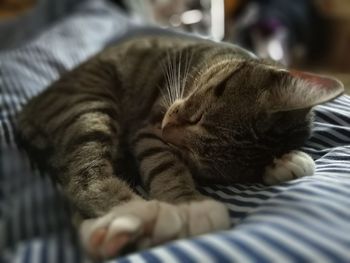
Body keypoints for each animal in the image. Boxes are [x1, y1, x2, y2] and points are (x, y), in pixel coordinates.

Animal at [17, 33, 344, 260]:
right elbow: (163, 162)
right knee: (82, 177)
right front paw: (190, 203)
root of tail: (26, 112)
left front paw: (283, 160)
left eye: (196, 161)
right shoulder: (148, 128)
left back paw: (111, 234)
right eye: (197, 117)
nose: (167, 130)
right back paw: (138, 213)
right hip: (87, 104)